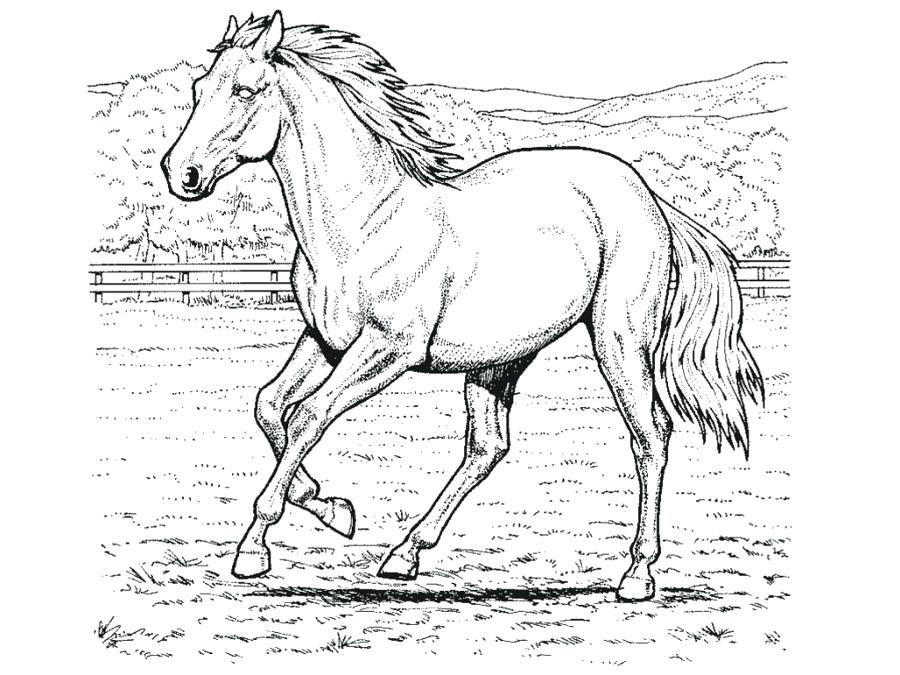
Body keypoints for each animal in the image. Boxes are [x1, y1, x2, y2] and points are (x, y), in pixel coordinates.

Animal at [161, 11, 763, 602]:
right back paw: (404, 555)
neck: (364, 222)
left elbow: (307, 416)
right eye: (198, 88)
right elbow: (268, 406)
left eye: (244, 90)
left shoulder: (388, 351)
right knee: (488, 447)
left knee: (650, 435)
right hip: (499, 360)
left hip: (619, 340)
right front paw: (332, 508)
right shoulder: (324, 341)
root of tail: (648, 196)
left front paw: (255, 549)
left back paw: (637, 575)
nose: (180, 173)